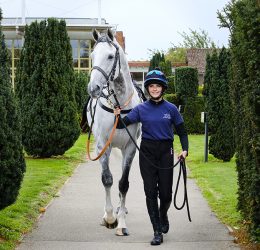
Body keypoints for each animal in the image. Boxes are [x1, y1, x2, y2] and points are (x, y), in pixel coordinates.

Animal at [86, 29, 141, 236]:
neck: (119, 106)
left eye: (110, 56)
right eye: (92, 55)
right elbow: (107, 179)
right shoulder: (103, 145)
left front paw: (121, 222)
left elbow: (123, 183)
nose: (93, 88)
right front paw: (110, 217)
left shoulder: (130, 147)